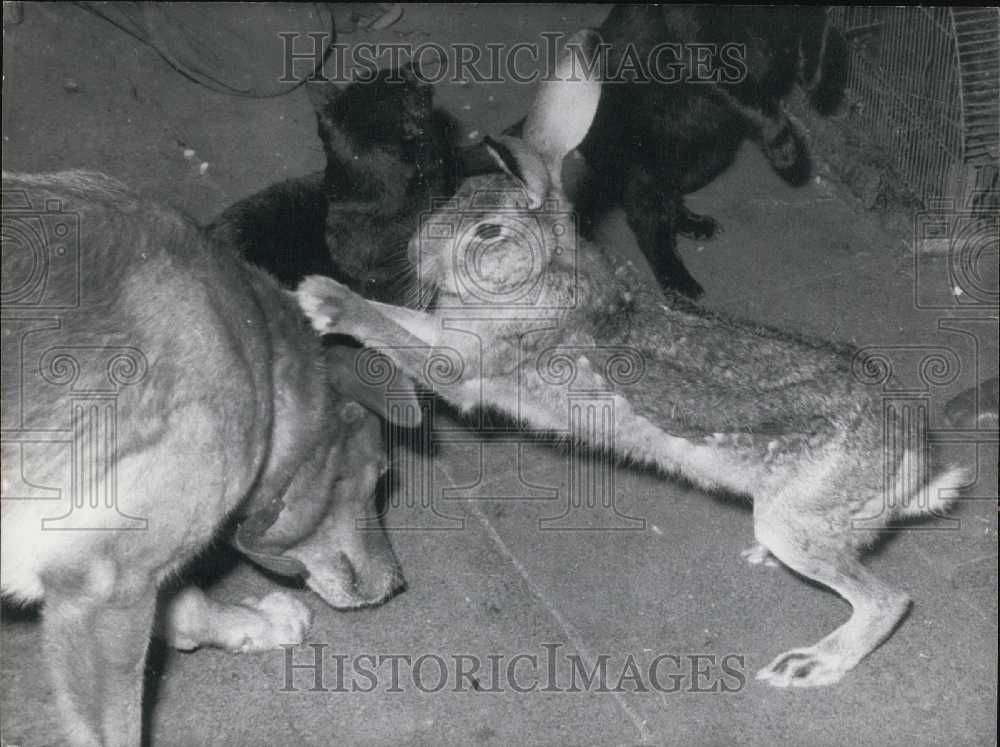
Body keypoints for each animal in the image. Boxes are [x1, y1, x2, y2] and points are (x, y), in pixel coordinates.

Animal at [1, 171, 416, 747]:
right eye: (380, 477)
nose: (397, 584)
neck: (259, 358)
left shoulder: (115, 583)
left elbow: (185, 603)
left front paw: (251, 622)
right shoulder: (104, 593)